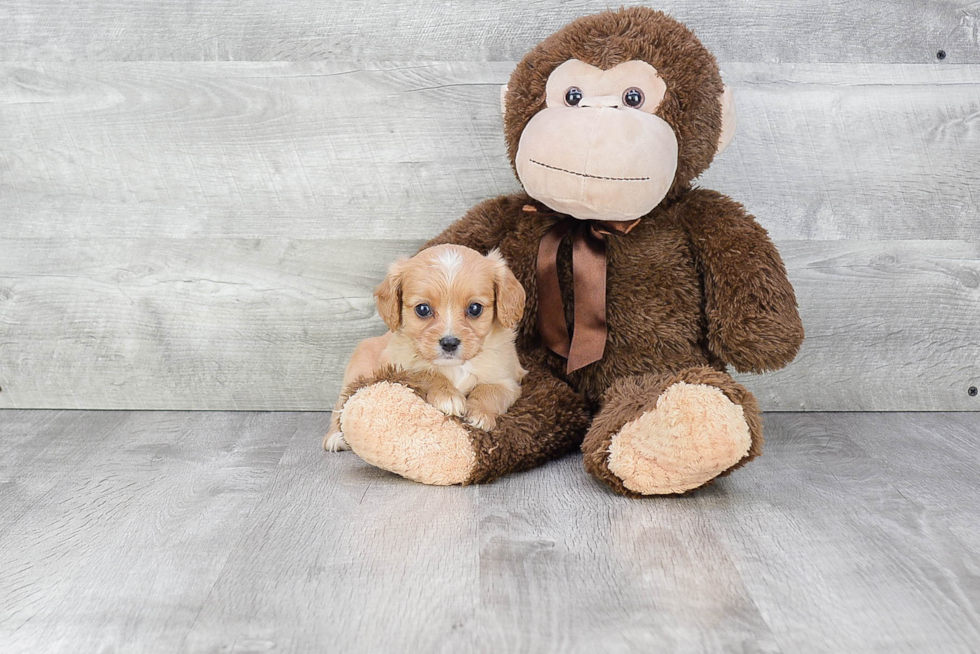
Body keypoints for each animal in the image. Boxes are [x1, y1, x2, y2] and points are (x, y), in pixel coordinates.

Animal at [326, 243, 528, 454]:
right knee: (340, 407)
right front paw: (448, 396)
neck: (455, 367)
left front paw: (479, 413)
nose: (449, 343)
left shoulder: (508, 382)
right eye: (422, 309)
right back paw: (335, 437)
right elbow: (426, 373)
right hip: (355, 375)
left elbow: (489, 390)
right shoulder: (398, 368)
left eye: (475, 308)